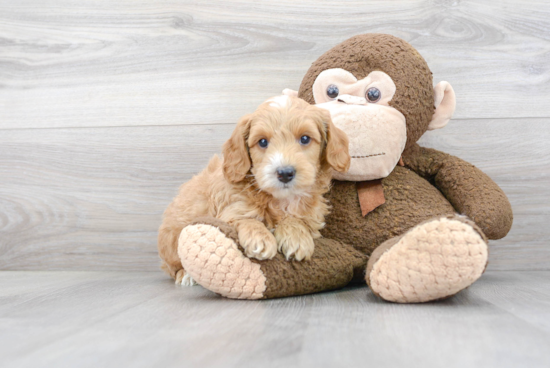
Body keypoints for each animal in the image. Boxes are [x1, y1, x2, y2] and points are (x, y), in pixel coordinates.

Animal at [157, 95, 352, 284]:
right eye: (263, 142)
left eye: (305, 139)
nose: (285, 173)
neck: (280, 199)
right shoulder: (230, 208)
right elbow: (245, 218)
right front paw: (260, 237)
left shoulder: (311, 218)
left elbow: (296, 220)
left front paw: (296, 238)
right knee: (171, 266)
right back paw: (186, 275)